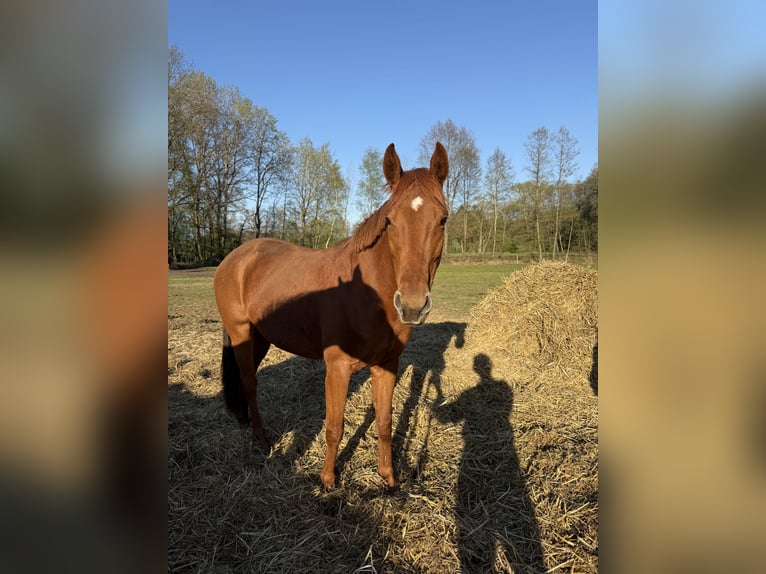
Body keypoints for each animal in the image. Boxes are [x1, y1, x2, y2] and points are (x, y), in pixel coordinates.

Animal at [213, 142, 449, 489]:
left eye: (442, 219)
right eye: (390, 221)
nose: (412, 305)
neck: (364, 294)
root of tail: (235, 258)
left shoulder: (387, 365)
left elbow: (384, 423)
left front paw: (389, 479)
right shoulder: (337, 368)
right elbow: (334, 427)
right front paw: (327, 481)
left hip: (261, 338)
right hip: (241, 332)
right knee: (250, 383)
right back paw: (262, 439)